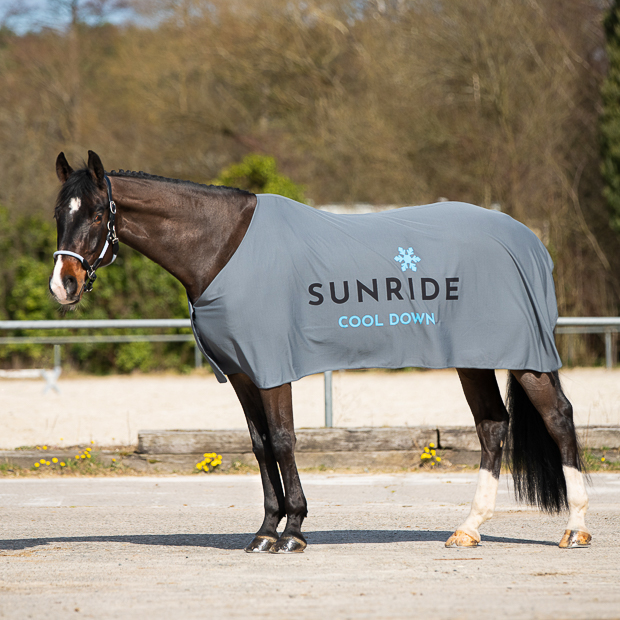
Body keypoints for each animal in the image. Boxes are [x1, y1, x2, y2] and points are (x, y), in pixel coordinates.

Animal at [48, 153, 592, 556]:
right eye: (59, 215)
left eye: (97, 214)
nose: (63, 285)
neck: (223, 248)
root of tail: (529, 239)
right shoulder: (243, 374)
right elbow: (259, 446)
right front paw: (265, 531)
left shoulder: (272, 369)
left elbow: (284, 440)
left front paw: (292, 532)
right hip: (473, 359)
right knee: (492, 426)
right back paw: (468, 529)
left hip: (525, 358)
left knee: (558, 418)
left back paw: (575, 528)